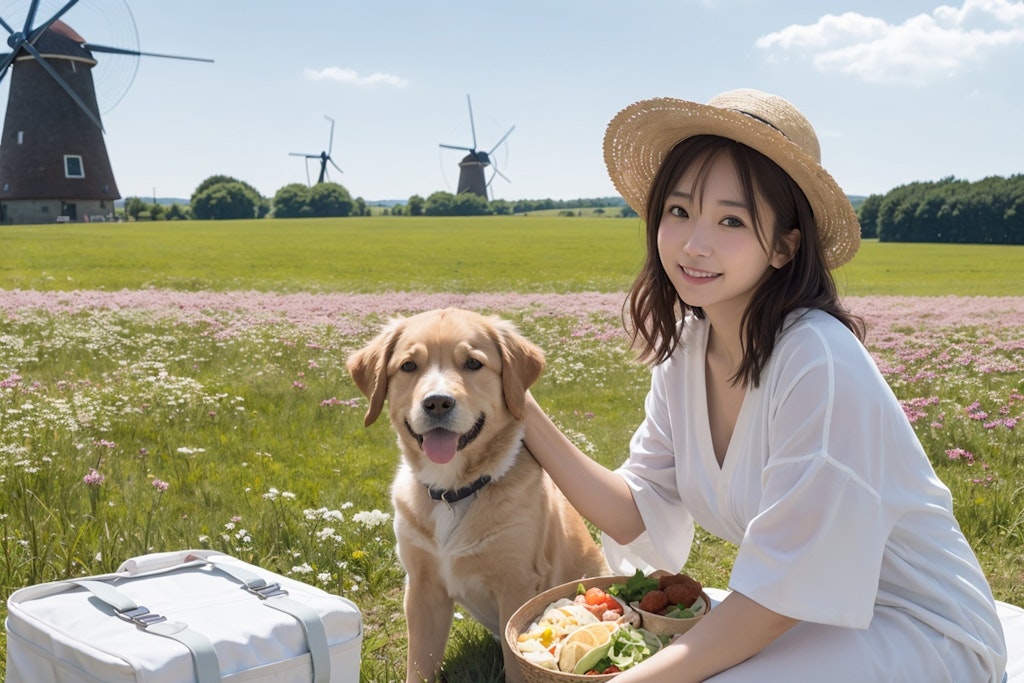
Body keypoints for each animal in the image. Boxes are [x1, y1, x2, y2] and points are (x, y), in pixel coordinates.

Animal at [348, 311, 610, 683]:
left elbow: (517, 668)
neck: (452, 492)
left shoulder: (516, 585)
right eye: (409, 366)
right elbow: (420, 663)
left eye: (473, 363)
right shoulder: (422, 588)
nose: (437, 402)